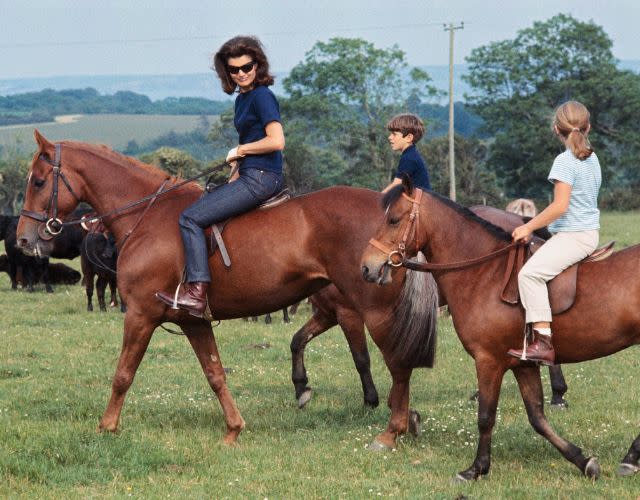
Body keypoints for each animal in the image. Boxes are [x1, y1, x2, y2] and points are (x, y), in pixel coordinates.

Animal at [18, 131, 440, 448]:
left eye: (38, 181)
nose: (24, 239)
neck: (146, 216)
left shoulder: (140, 314)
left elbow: (123, 373)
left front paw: (107, 427)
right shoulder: (193, 321)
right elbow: (215, 373)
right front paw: (234, 429)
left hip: (374, 310)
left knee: (398, 363)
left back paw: (397, 424)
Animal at [360, 180, 640, 480]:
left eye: (393, 219)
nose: (366, 267)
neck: (484, 272)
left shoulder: (488, 360)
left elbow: (485, 416)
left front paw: (475, 469)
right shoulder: (523, 364)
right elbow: (537, 417)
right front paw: (583, 461)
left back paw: (631, 458)